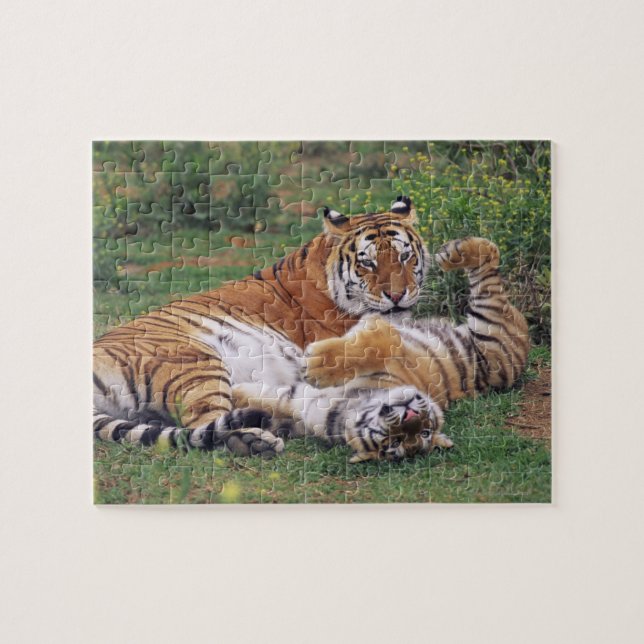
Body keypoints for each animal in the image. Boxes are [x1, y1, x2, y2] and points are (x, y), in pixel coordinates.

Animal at [94, 196, 440, 463]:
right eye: (367, 263)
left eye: (404, 256)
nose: (396, 296)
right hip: (195, 363)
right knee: (207, 425)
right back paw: (253, 440)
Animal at [300, 236, 531, 458]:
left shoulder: (386, 334)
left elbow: (374, 345)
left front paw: (315, 365)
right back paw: (453, 251)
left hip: (491, 326)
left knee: (491, 269)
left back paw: (455, 255)